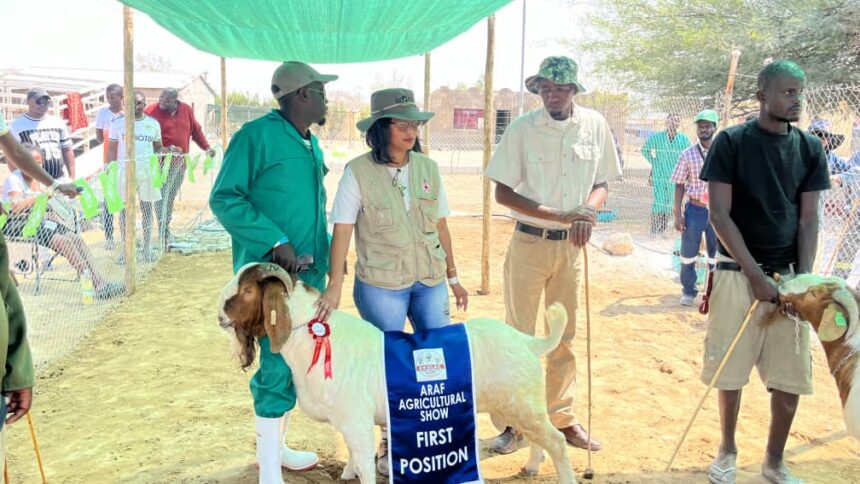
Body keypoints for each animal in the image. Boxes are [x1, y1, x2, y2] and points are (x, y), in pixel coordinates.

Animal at [217, 262, 576, 482]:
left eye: (247, 291)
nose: (220, 315)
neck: (313, 334)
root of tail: (529, 342)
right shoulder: (347, 421)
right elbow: (352, 454)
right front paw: (346, 473)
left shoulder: (356, 421)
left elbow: (364, 462)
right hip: (520, 406)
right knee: (538, 439)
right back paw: (530, 467)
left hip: (523, 404)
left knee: (557, 441)